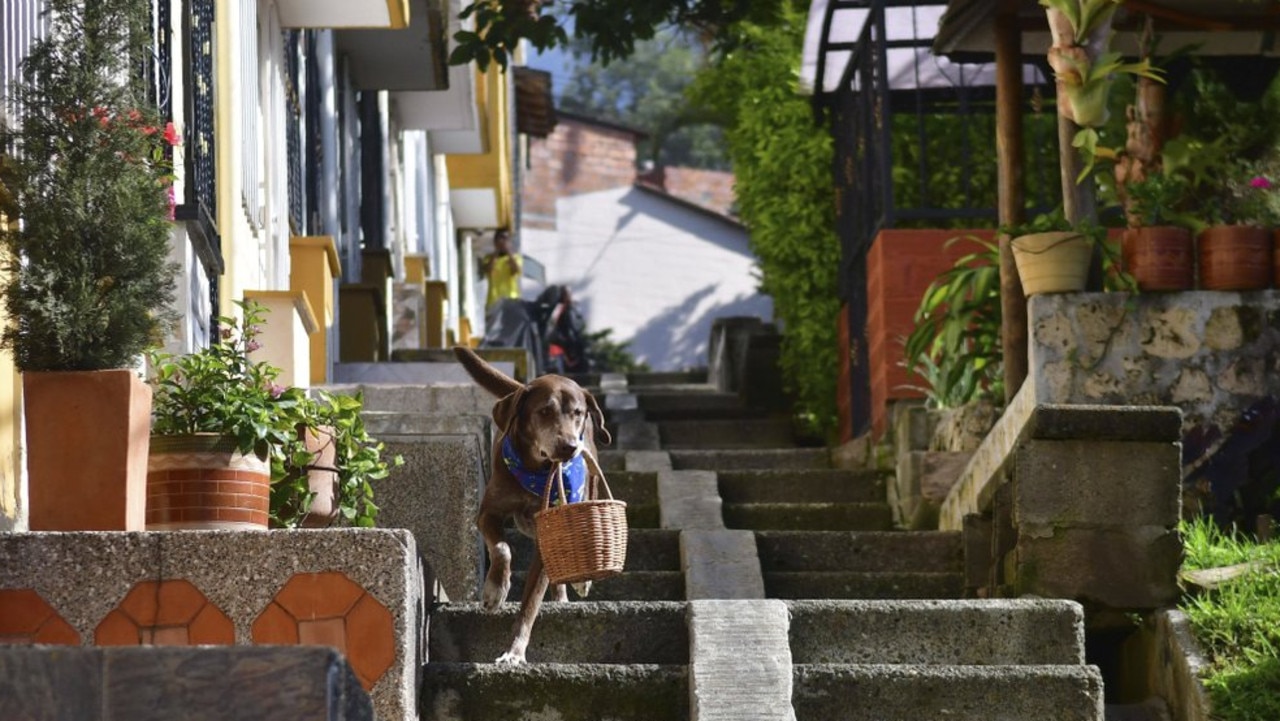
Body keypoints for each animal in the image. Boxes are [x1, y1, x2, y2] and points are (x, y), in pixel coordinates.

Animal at [450, 345, 609, 665]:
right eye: (544, 411)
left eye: (578, 413)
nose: (569, 446)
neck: (536, 468)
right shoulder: (488, 512)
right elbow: (502, 548)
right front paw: (495, 591)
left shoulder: (552, 530)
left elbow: (531, 602)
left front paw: (514, 651)